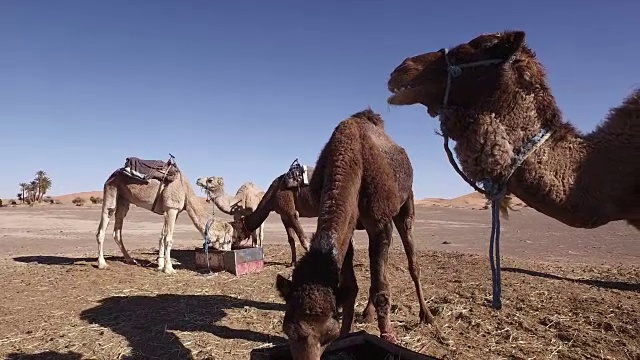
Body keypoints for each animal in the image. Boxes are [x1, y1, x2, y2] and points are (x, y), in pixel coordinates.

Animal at [96, 156, 231, 274]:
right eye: (229, 240)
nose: (229, 251)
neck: (185, 191)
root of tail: (111, 175)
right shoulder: (172, 208)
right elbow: (168, 239)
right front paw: (169, 269)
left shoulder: (172, 211)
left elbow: (162, 236)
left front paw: (160, 265)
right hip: (111, 190)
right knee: (103, 225)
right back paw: (102, 264)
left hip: (123, 199)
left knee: (117, 230)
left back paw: (130, 260)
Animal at [276, 109, 436, 360]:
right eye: (288, 330)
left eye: (326, 335)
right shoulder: (349, 227)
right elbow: (351, 286)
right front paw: (347, 334)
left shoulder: (380, 222)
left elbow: (381, 289)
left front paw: (386, 337)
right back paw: (368, 313)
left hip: (406, 203)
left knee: (411, 260)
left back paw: (426, 315)